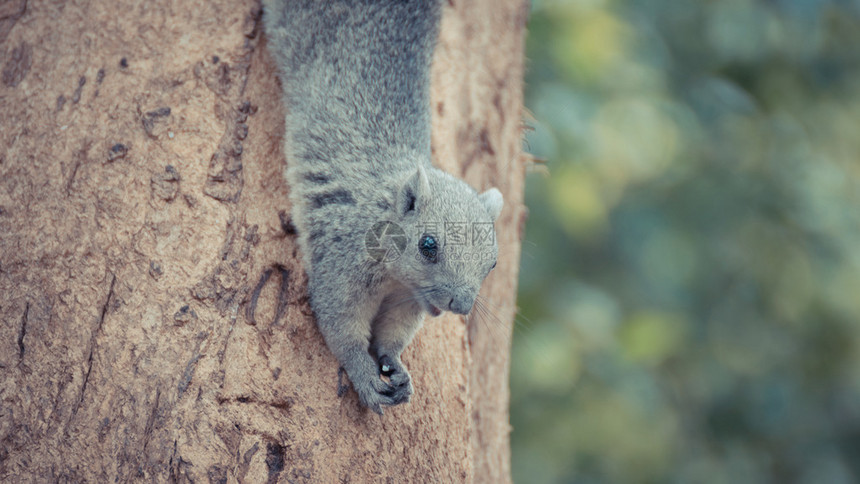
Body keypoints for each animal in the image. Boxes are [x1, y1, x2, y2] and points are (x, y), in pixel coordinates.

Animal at [264, 0, 504, 416]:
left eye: (492, 264)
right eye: (428, 245)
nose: (460, 304)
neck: (397, 278)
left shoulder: (407, 301)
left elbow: (392, 334)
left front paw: (396, 365)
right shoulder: (341, 258)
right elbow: (340, 324)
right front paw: (363, 372)